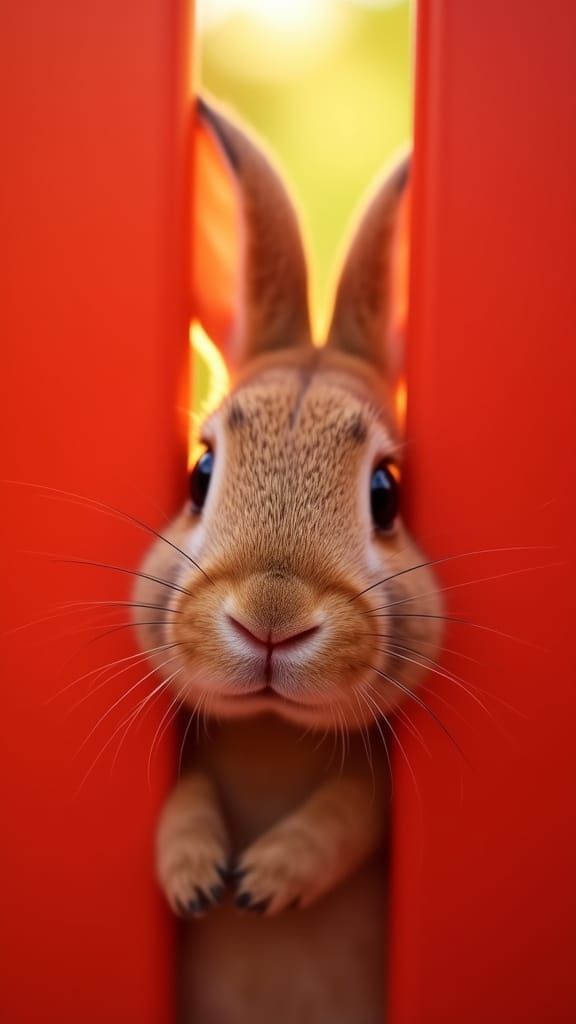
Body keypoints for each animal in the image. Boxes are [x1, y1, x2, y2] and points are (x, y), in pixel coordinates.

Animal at [134, 98, 442, 1024]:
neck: (273, 728)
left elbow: (348, 818)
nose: (271, 620)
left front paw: (267, 878)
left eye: (386, 494)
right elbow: (183, 801)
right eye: (199, 474)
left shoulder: (375, 799)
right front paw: (196, 877)